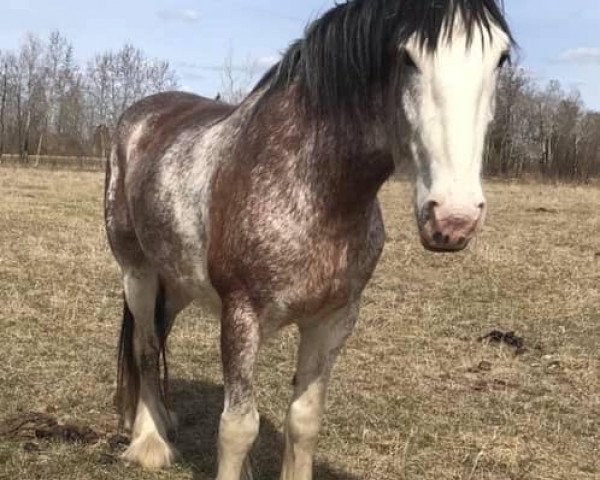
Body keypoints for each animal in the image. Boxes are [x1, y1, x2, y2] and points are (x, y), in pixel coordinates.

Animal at [105, 0, 512, 480]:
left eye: (500, 58)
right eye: (407, 57)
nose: (454, 217)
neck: (313, 186)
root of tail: (140, 118)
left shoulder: (333, 319)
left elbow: (303, 420)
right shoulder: (241, 315)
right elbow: (238, 426)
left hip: (179, 281)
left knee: (159, 334)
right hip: (138, 273)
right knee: (146, 346)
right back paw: (150, 442)